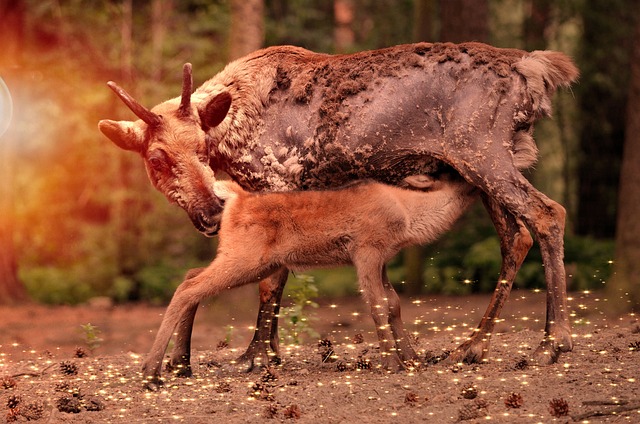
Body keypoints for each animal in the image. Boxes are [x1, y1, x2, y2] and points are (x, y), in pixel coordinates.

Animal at [144, 174, 476, 386]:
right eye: (455, 175)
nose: (478, 181)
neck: (409, 217)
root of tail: (237, 198)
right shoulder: (366, 251)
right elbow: (377, 305)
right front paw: (393, 364)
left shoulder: (381, 260)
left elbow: (394, 304)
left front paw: (412, 359)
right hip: (246, 260)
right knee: (188, 287)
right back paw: (152, 374)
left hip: (248, 260)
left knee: (190, 276)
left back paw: (181, 365)